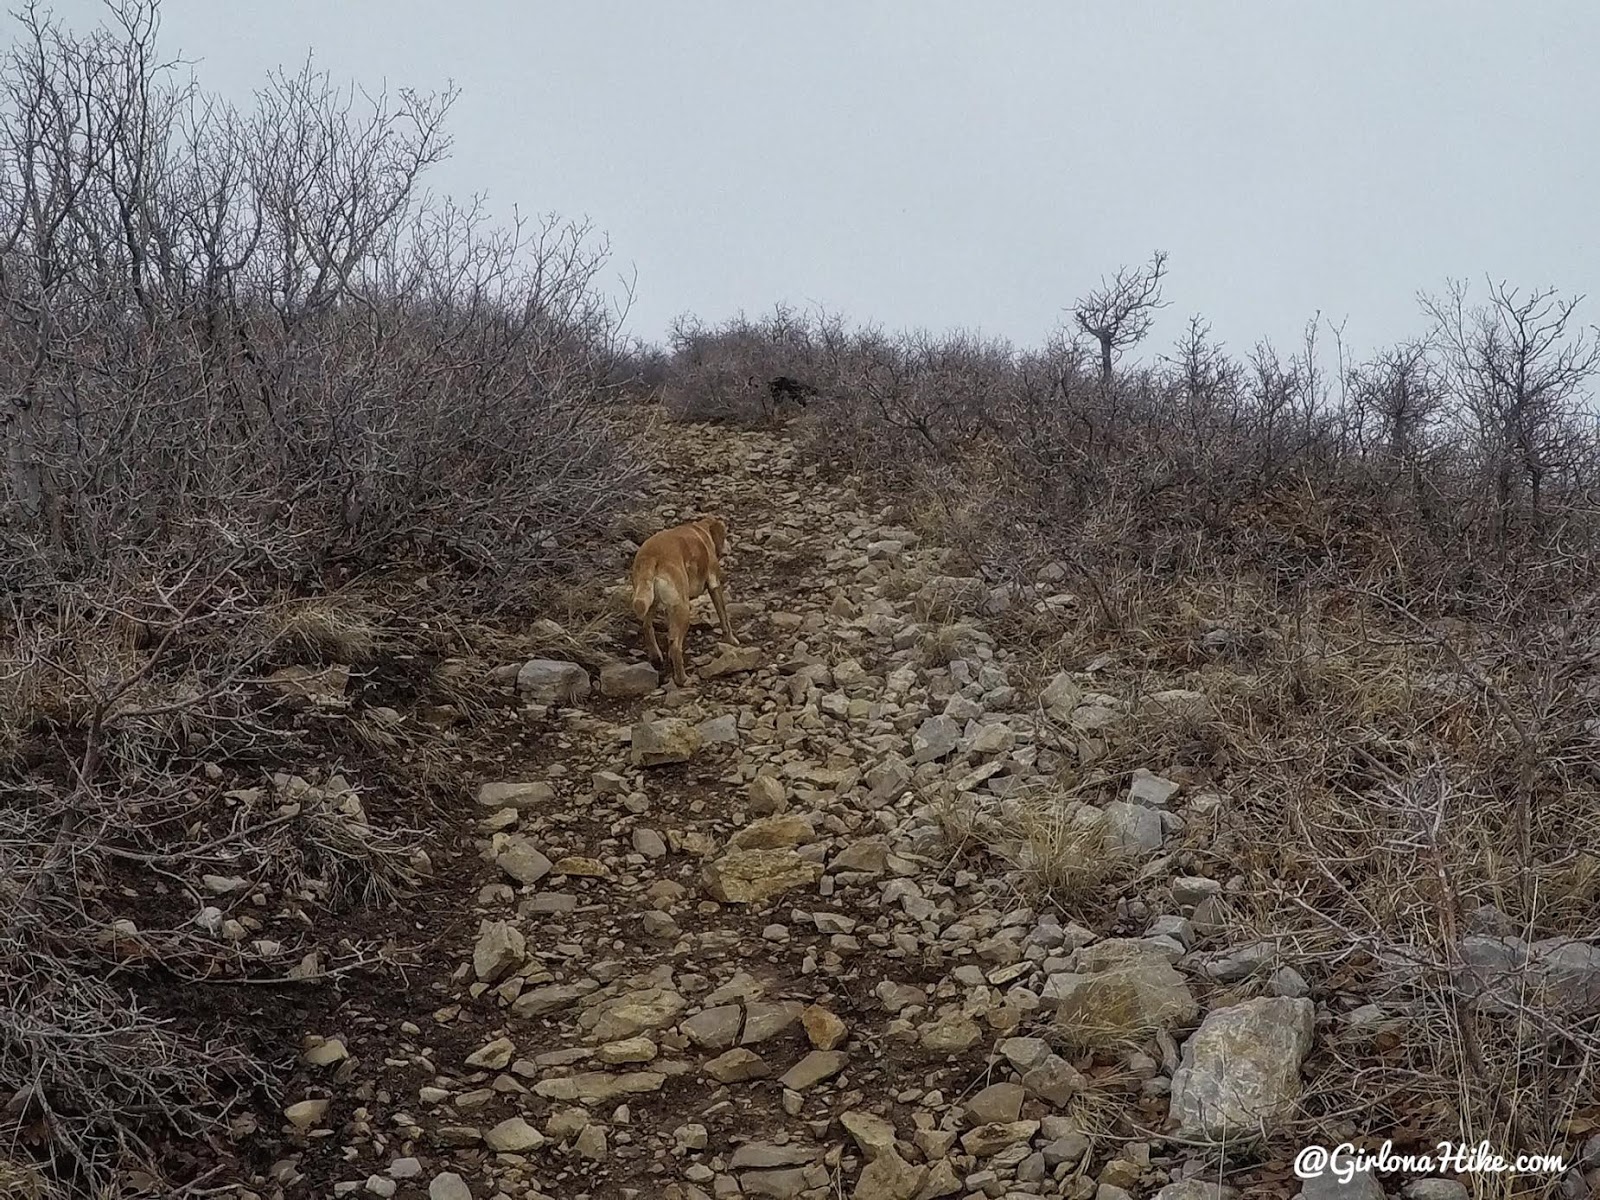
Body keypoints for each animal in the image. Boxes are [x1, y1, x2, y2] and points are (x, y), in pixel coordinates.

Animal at [633, 515, 739, 684]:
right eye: (726, 534)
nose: (729, 546)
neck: (702, 530)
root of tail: (651, 556)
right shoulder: (714, 584)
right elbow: (724, 617)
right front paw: (731, 640)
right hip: (682, 608)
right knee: (675, 644)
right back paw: (683, 679)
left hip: (651, 603)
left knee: (647, 626)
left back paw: (656, 657)